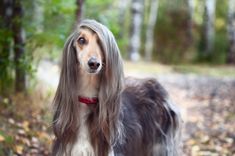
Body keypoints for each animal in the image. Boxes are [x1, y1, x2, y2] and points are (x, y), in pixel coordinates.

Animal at [52, 19, 182, 156]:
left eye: (101, 43)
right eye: (81, 40)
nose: (94, 64)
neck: (87, 99)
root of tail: (159, 87)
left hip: (160, 145)